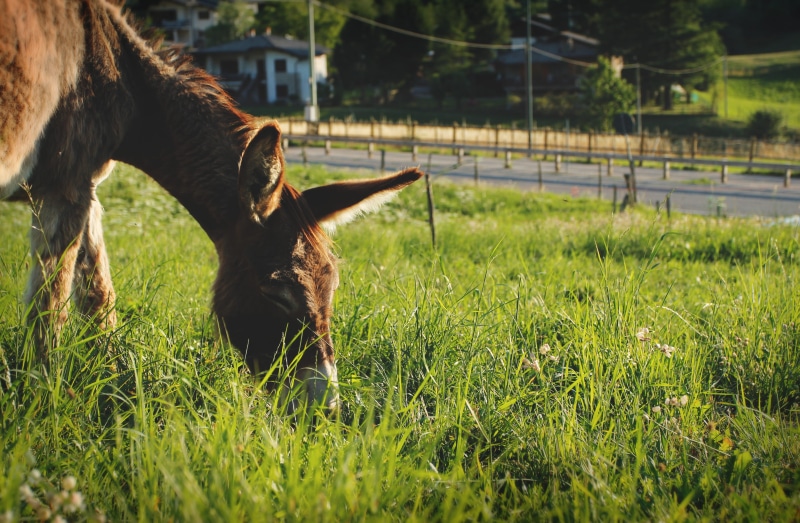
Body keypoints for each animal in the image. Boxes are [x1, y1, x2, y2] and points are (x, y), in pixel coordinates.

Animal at [0, 0, 422, 411]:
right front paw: (43, 398)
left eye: (332, 286)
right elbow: (50, 307)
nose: (325, 409)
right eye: (276, 292)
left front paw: (109, 376)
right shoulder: (66, 186)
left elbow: (97, 293)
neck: (123, 73)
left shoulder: (84, 186)